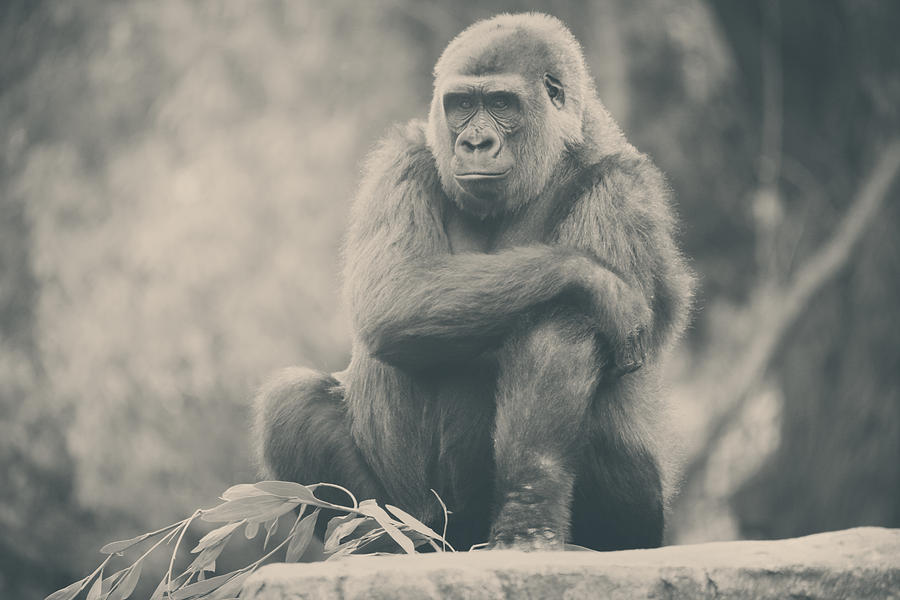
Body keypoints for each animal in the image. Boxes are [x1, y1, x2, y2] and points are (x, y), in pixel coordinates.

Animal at [253, 11, 696, 552]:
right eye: (462, 105)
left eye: (501, 103)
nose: (475, 143)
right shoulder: (406, 155)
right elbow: (392, 292)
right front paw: (592, 279)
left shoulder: (623, 188)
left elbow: (564, 325)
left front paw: (528, 512)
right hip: (417, 516)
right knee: (291, 402)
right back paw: (377, 540)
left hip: (637, 523)